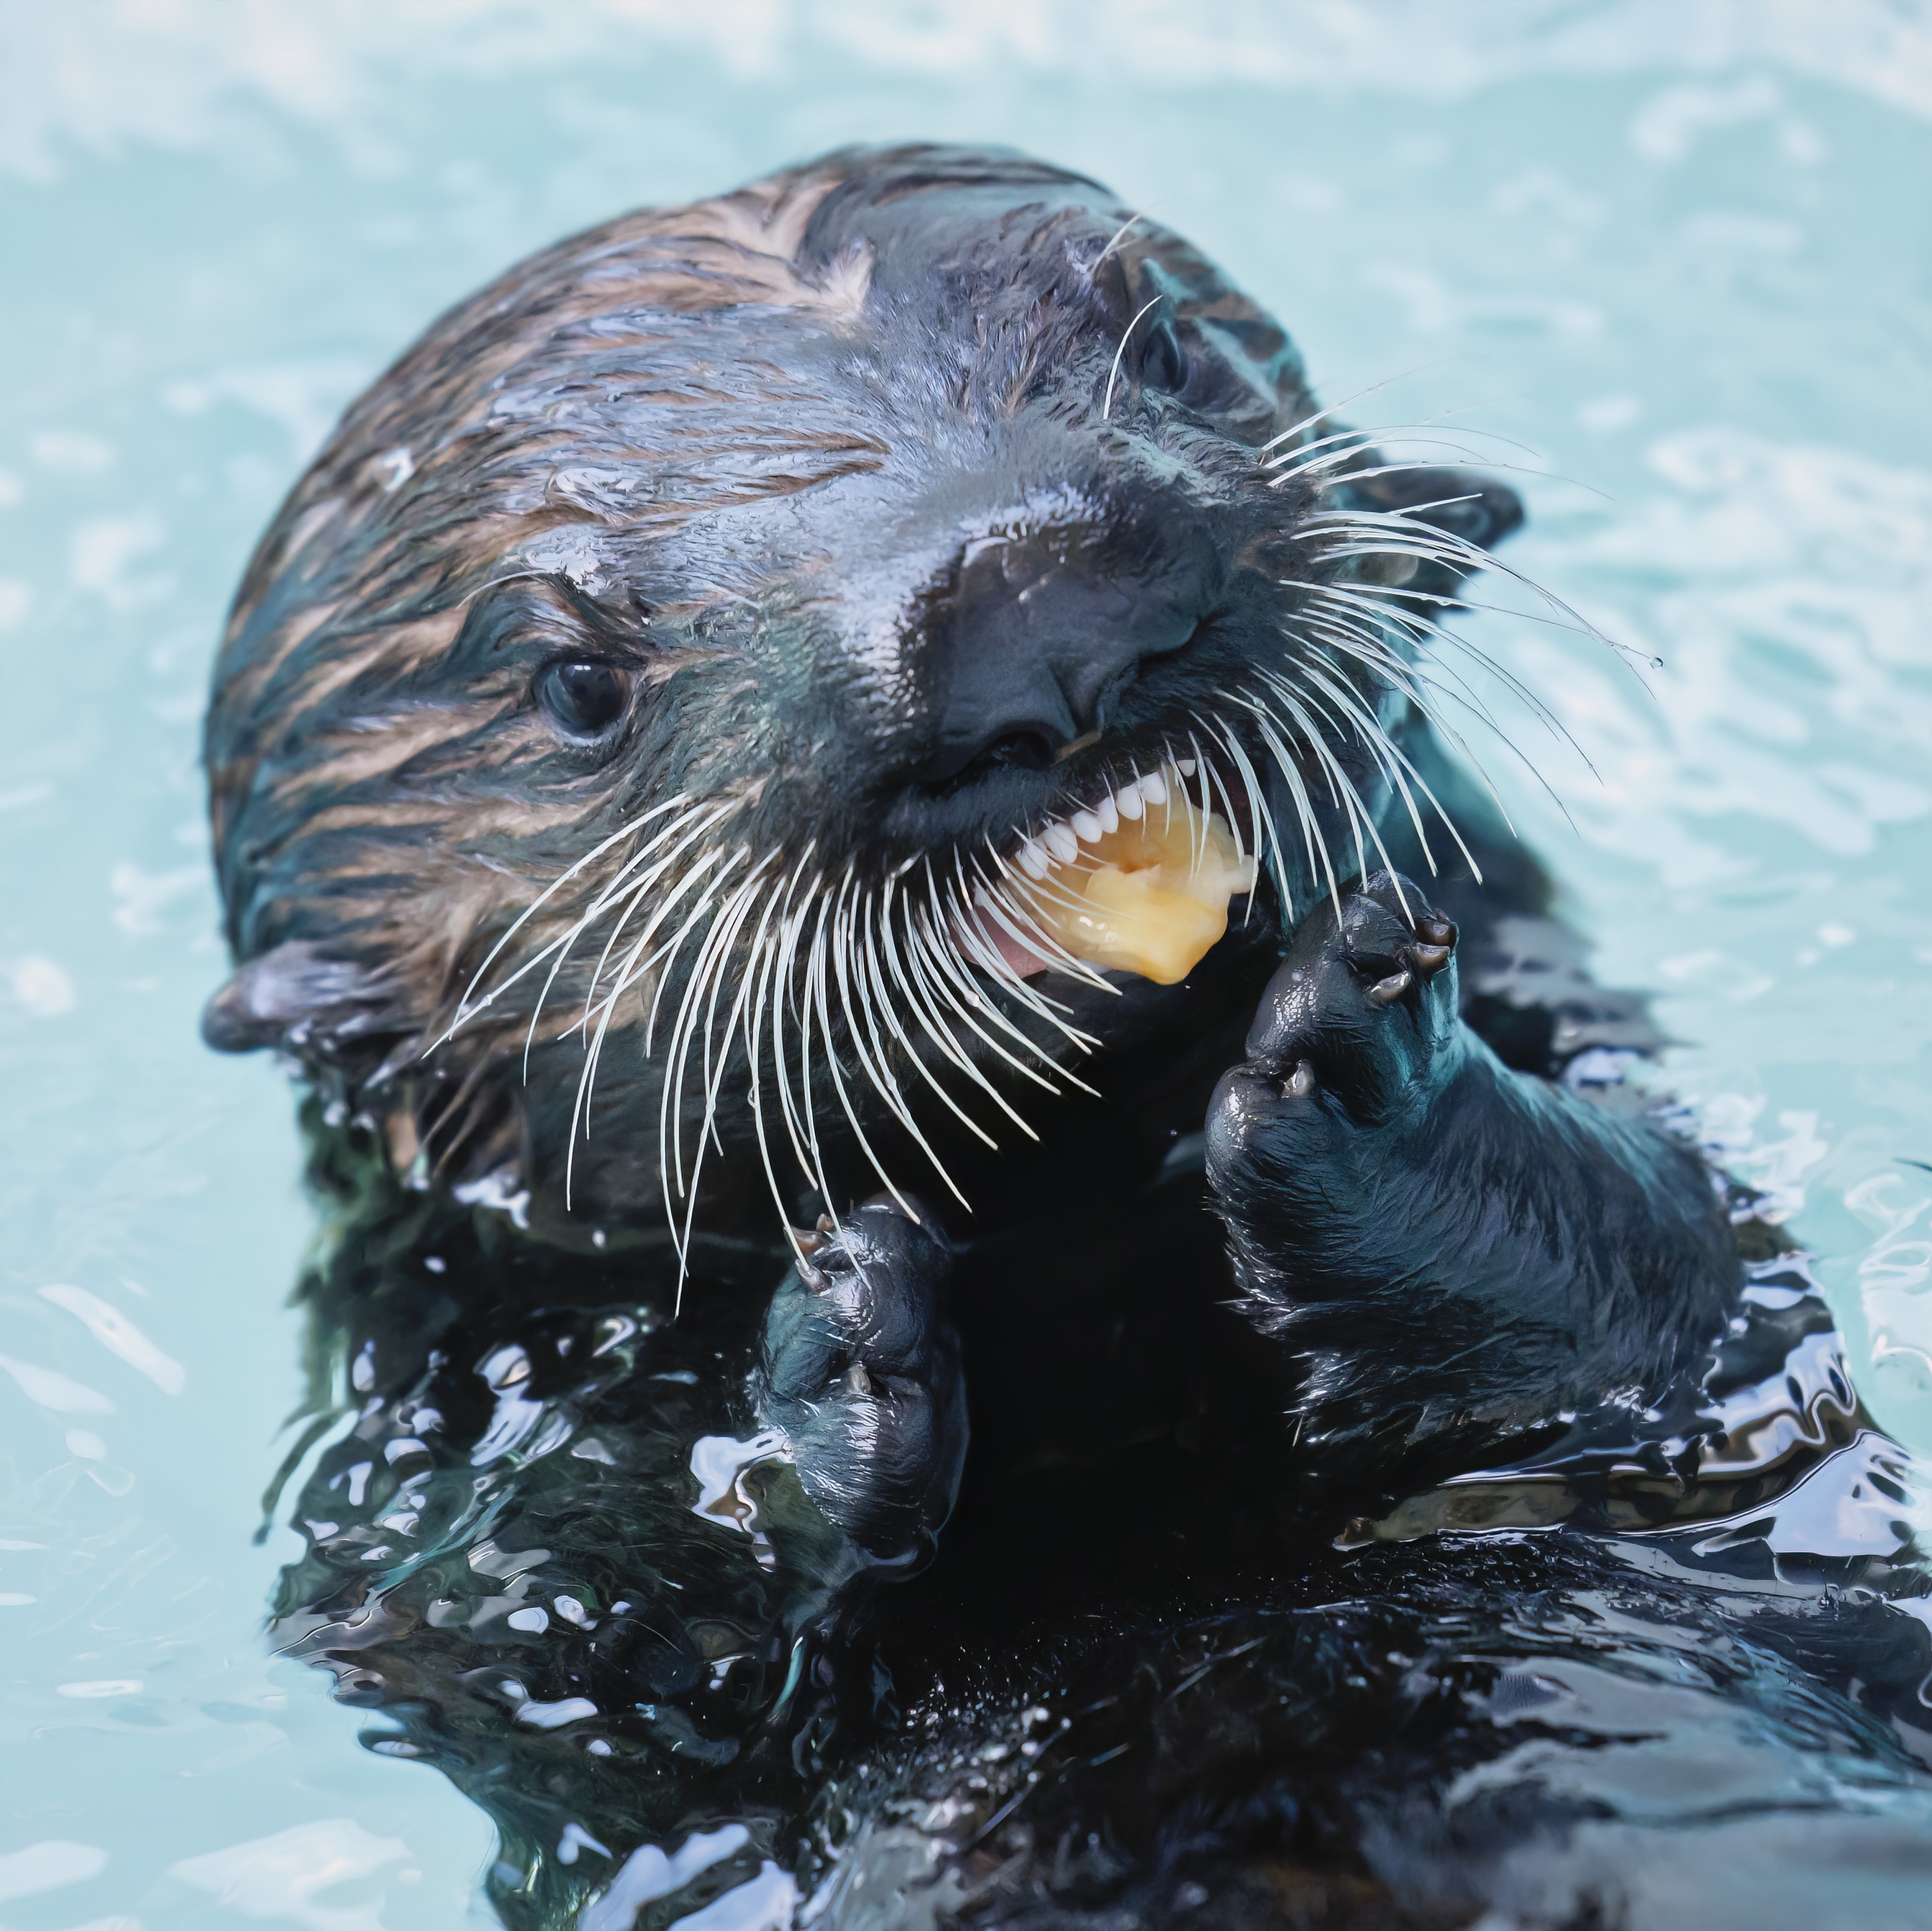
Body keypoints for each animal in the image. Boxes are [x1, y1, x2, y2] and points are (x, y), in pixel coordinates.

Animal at [203, 147, 1932, 1929]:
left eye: (1168, 348)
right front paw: (814, 1378)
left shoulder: (1725, 1381)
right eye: (572, 683)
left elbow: (1683, 1293)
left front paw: (1374, 1085)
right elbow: (544, 1637)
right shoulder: (432, 1489)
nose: (1019, 577)